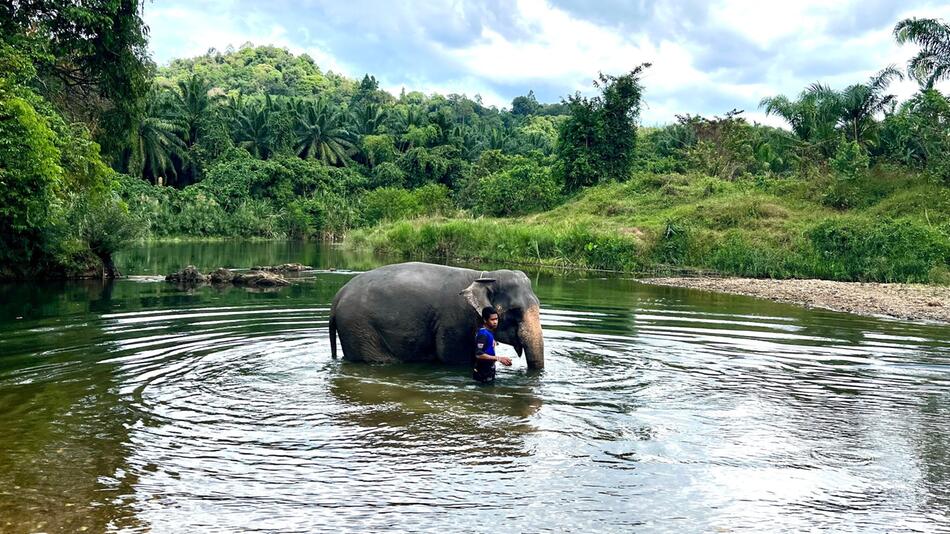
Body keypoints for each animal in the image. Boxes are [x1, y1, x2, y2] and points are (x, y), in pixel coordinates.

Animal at [330, 262, 548, 370]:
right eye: (515, 311)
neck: (483, 277)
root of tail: (337, 296)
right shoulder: (454, 320)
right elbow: (453, 358)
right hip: (359, 327)